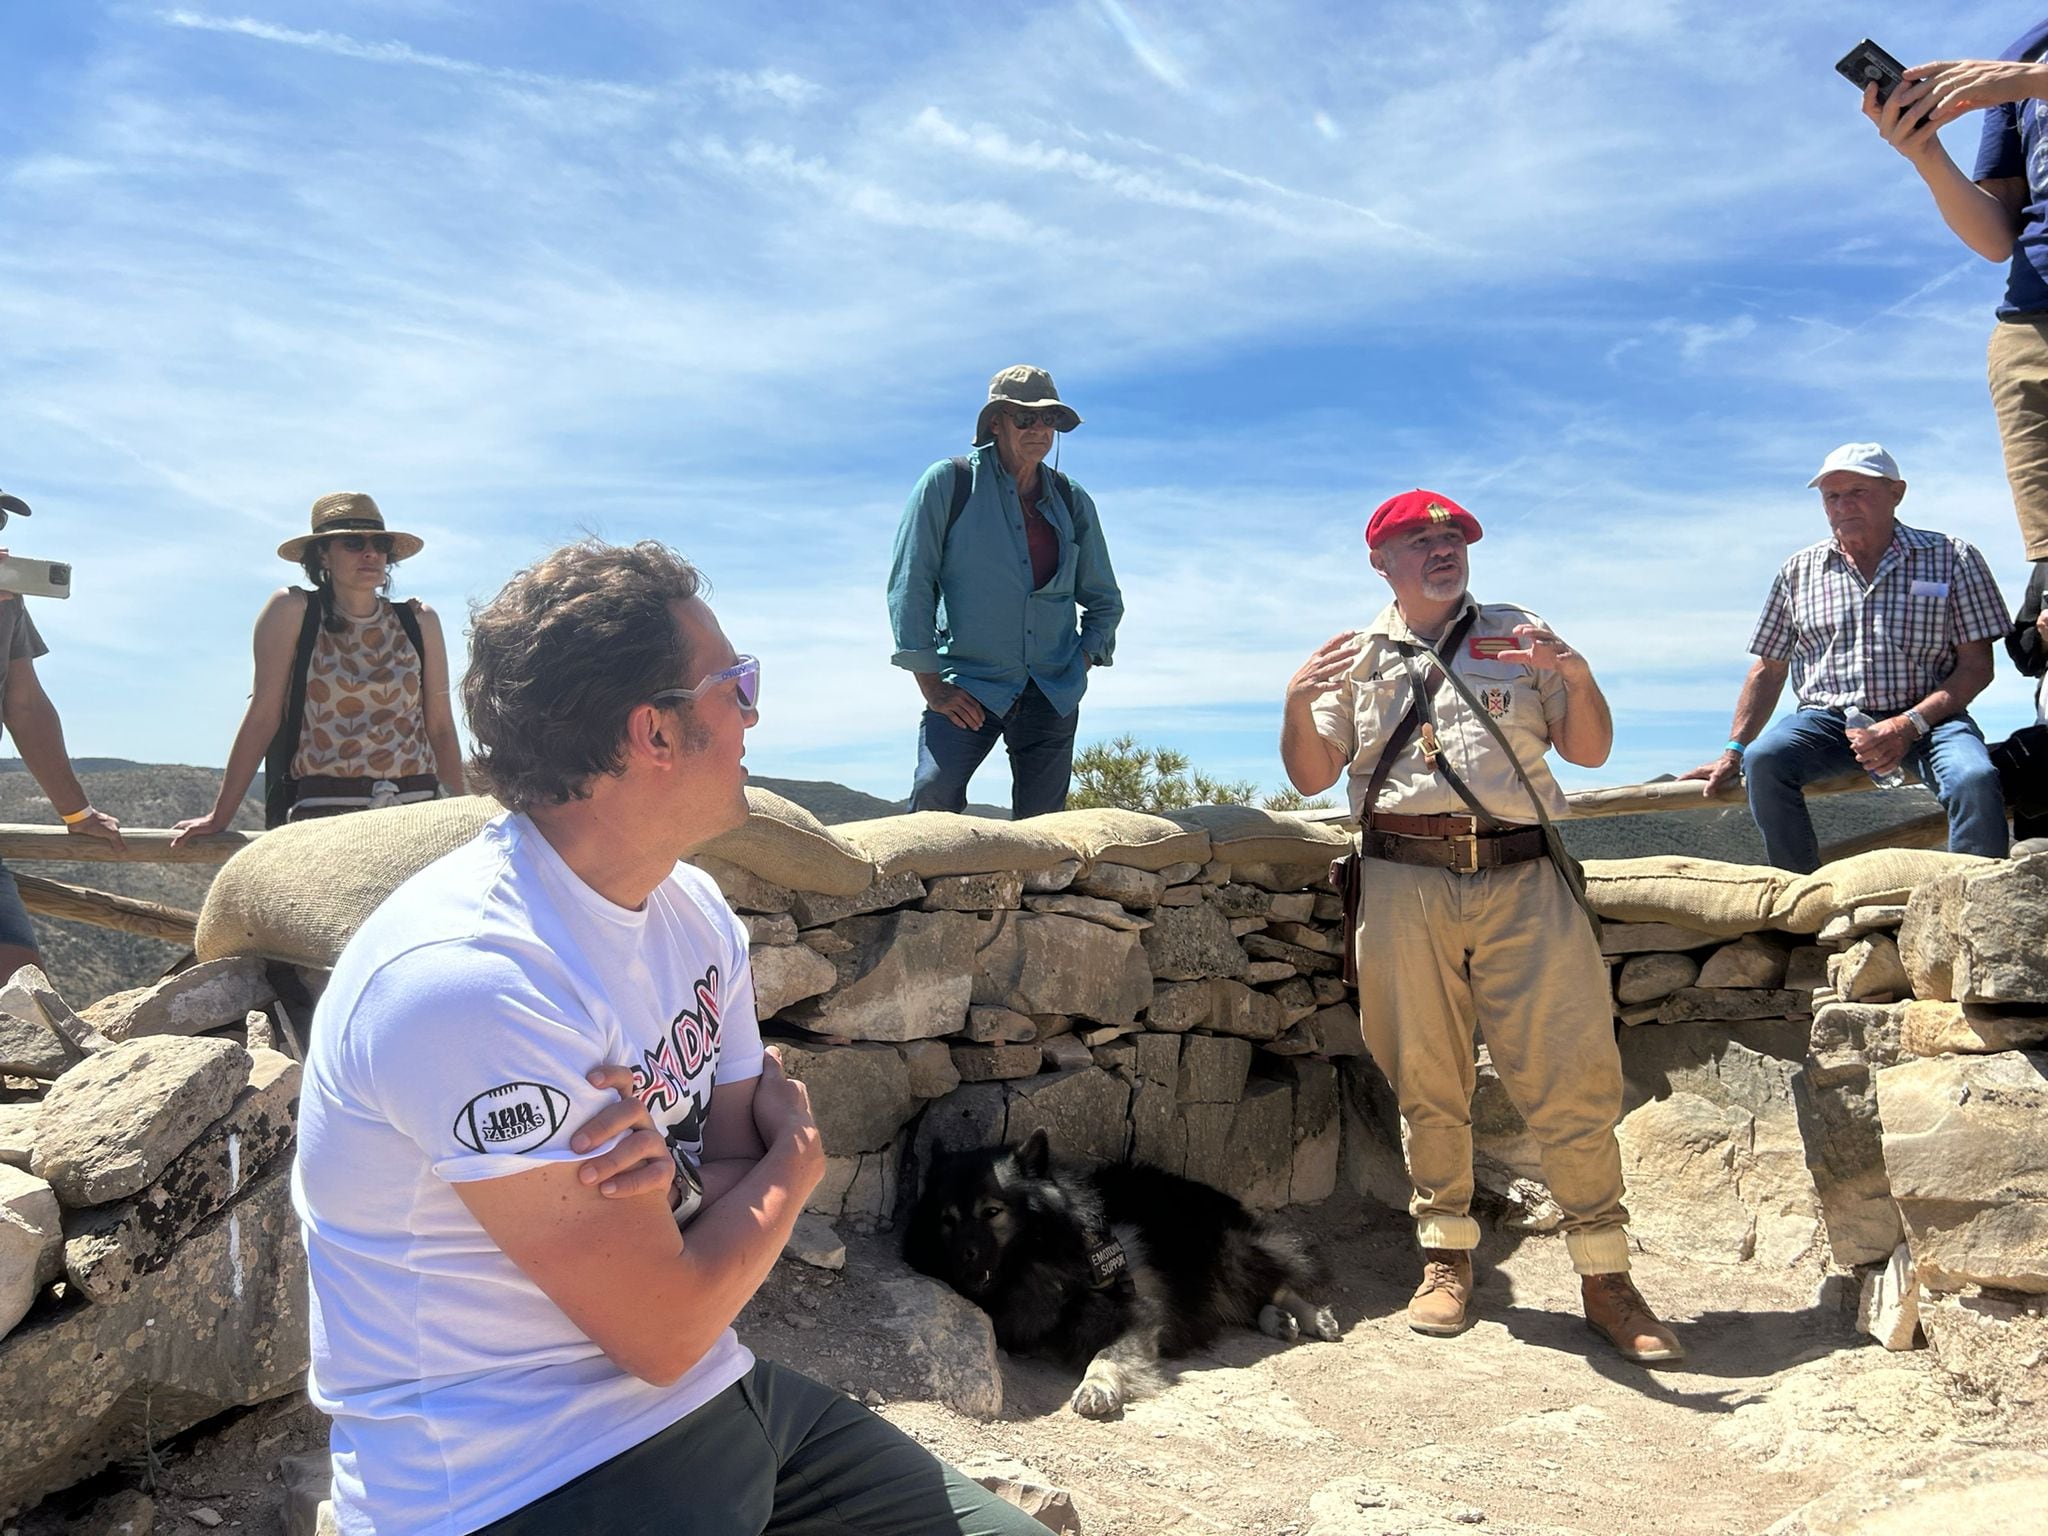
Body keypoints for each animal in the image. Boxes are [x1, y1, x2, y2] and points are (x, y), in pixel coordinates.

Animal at [905, 1130, 1335, 1417]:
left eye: (992, 1212)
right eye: (947, 1220)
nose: (964, 1257)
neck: (1038, 1259)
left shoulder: (1134, 1310)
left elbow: (1108, 1353)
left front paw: (1096, 1387)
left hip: (1230, 1257)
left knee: (1279, 1277)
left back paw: (1312, 1316)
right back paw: (1279, 1320)